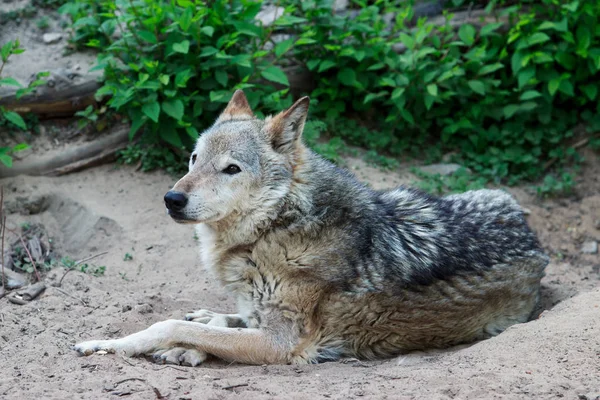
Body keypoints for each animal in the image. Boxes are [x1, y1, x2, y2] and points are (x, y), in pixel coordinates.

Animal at [74, 90, 548, 366]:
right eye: (194, 159)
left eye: (232, 169)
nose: (172, 199)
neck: (273, 229)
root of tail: (532, 236)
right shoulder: (263, 320)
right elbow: (216, 323)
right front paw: (197, 333)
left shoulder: (281, 344)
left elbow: (171, 325)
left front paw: (111, 344)